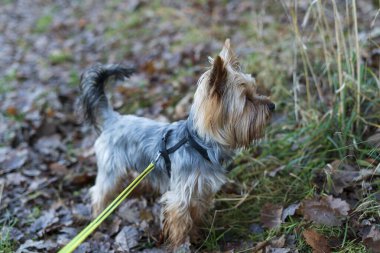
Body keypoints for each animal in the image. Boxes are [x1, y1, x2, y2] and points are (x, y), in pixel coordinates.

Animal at [78, 39, 274, 249]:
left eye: (255, 91)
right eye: (247, 100)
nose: (272, 105)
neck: (200, 145)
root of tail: (113, 119)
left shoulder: (200, 190)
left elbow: (195, 216)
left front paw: (196, 236)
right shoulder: (180, 196)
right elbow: (181, 222)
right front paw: (181, 244)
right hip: (110, 170)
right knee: (99, 192)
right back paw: (99, 219)